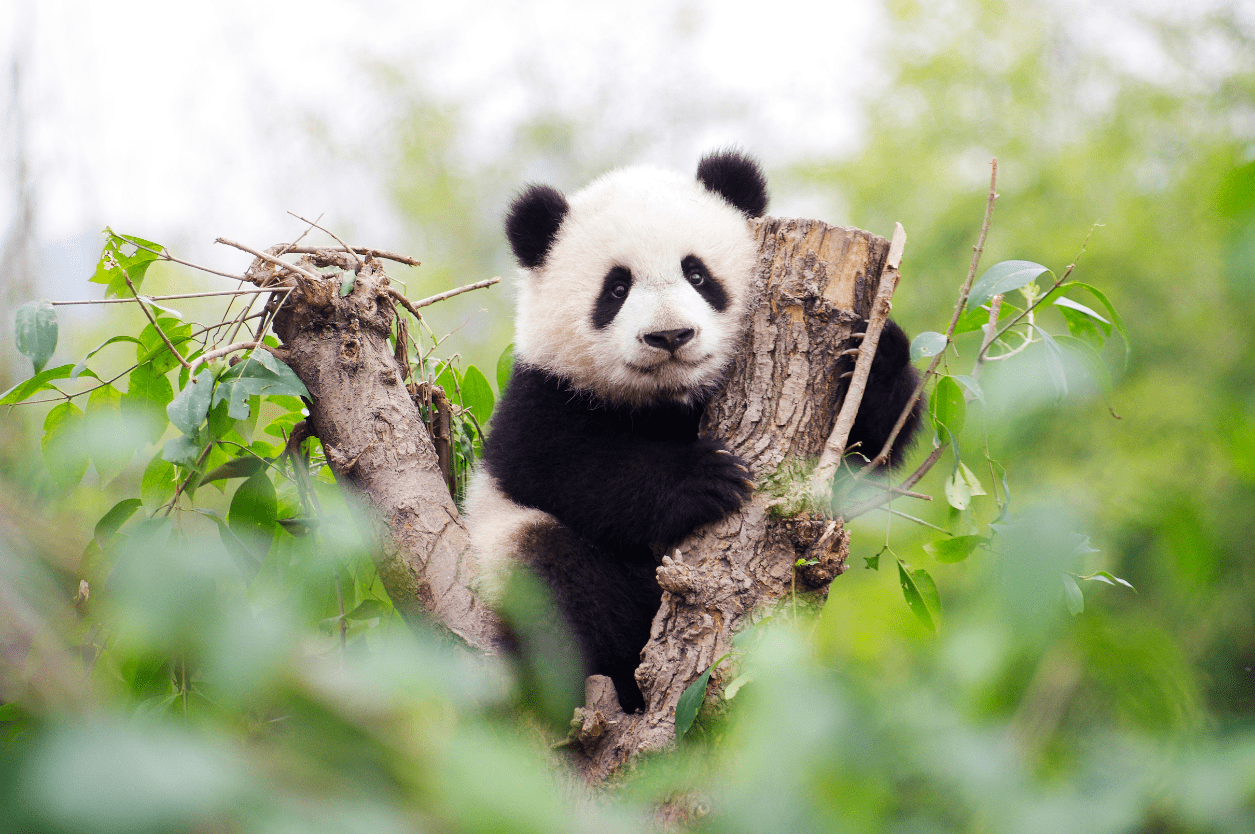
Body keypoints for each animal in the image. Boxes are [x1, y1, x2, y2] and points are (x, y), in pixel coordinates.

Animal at [466, 151, 918, 707]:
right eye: (617, 288)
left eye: (698, 274)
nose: (670, 336)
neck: (670, 397)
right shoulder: (543, 393)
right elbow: (556, 465)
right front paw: (704, 478)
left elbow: (867, 456)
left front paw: (871, 358)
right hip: (510, 556)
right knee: (558, 581)